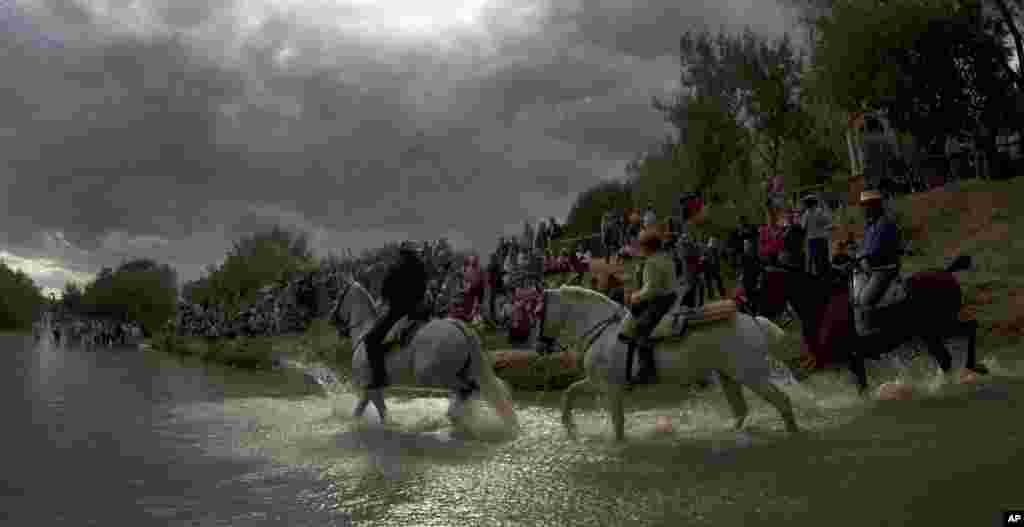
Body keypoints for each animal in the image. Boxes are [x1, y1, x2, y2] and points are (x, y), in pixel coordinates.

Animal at [329, 274, 520, 440]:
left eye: (339, 295)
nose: (332, 318)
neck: (364, 331)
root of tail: (455, 324)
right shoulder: (371, 388)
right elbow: (369, 411)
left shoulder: (369, 387)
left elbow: (373, 412)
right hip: (463, 370)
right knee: (475, 390)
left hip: (434, 376)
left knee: (467, 389)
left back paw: (456, 417)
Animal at [536, 286, 798, 444]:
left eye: (537, 312)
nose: (539, 347)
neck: (603, 331)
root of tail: (755, 321)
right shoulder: (596, 383)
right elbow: (570, 392)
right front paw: (570, 427)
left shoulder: (611, 388)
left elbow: (618, 423)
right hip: (729, 376)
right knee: (741, 409)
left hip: (751, 375)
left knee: (782, 401)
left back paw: (793, 432)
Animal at [770, 255, 987, 397]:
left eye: (764, 282)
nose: (772, 317)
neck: (822, 306)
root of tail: (946, 272)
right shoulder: (836, 359)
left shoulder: (835, 358)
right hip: (931, 333)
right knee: (947, 356)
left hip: (940, 327)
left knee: (969, 329)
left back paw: (972, 368)